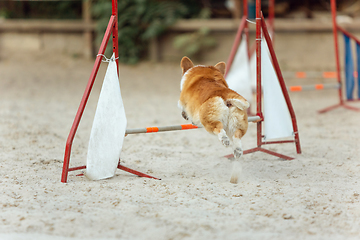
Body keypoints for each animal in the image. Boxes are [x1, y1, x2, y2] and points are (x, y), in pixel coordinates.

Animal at [179, 56, 249, 184]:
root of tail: (225, 94)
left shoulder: (182, 102)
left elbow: (183, 109)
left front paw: (186, 116)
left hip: (208, 120)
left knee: (218, 129)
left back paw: (224, 140)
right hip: (238, 123)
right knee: (237, 136)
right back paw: (237, 150)